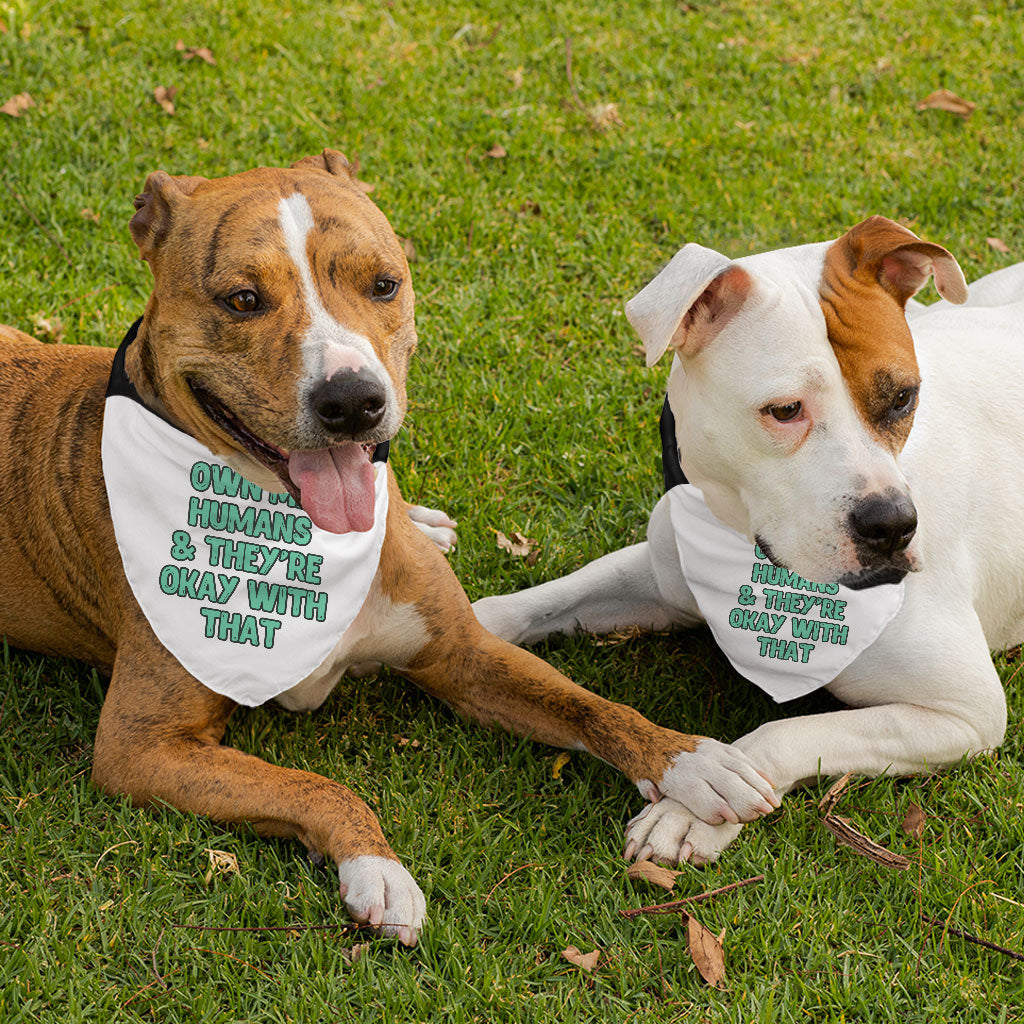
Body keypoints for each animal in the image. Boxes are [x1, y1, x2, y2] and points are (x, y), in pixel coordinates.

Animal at [473, 216, 1024, 864]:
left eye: (903, 398)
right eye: (784, 410)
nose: (892, 525)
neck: (746, 549)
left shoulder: (964, 712)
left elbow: (786, 732)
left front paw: (690, 807)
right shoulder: (664, 574)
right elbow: (542, 600)